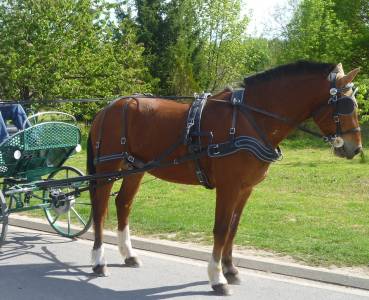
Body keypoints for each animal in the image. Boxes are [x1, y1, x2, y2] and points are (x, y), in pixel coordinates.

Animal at [85, 61, 360, 296]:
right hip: (107, 168)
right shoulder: (228, 187)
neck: (252, 119)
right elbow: (221, 228)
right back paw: (99, 261)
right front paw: (217, 278)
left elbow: (233, 228)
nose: (355, 149)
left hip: (135, 168)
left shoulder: (245, 188)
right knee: (100, 209)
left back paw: (128, 255)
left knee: (123, 203)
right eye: (346, 106)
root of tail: (107, 108)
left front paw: (231, 270)